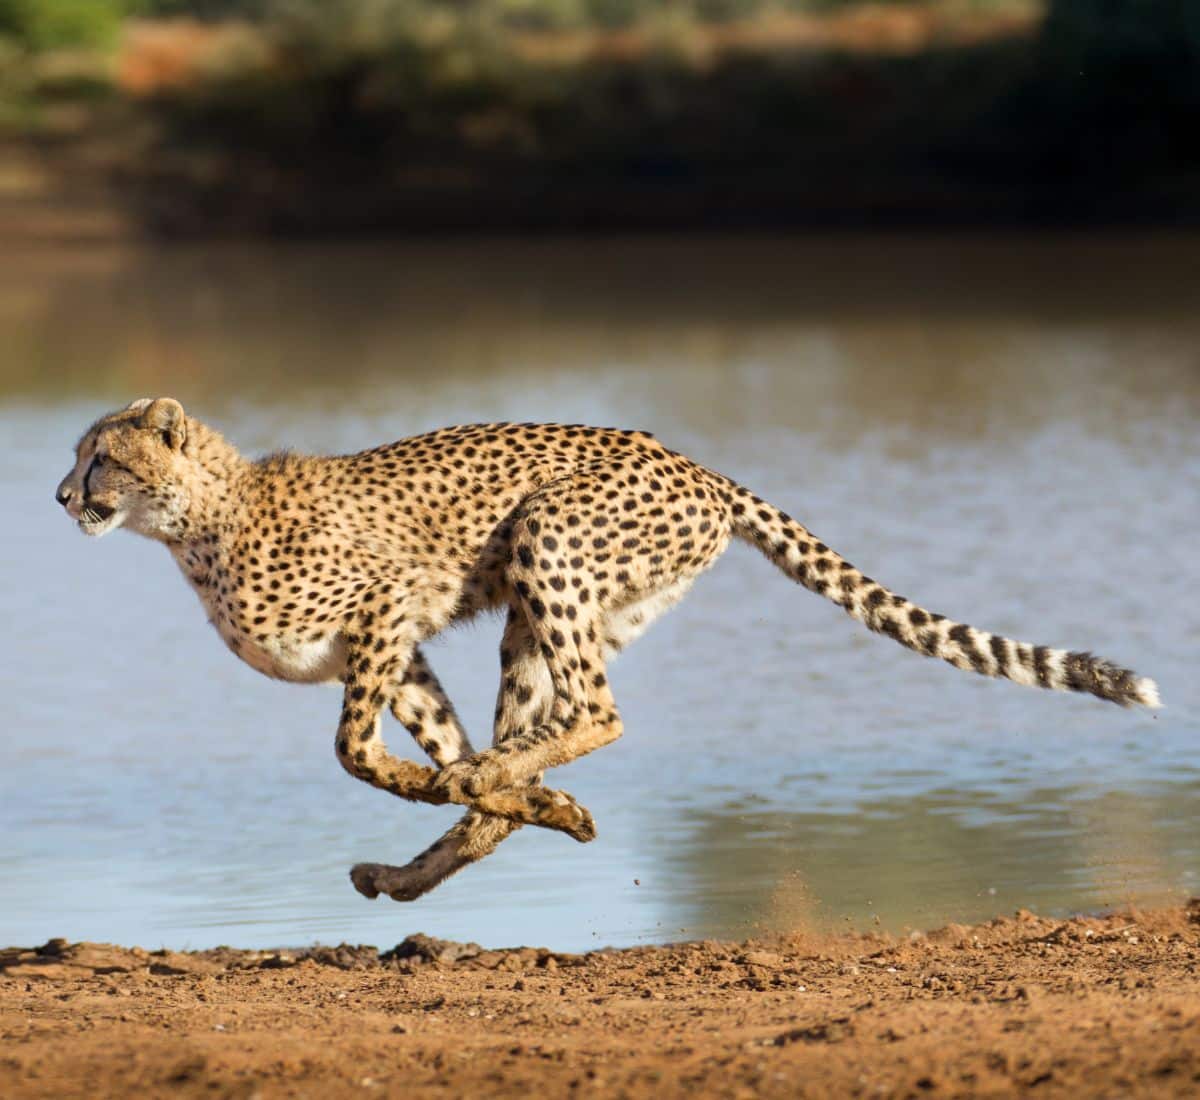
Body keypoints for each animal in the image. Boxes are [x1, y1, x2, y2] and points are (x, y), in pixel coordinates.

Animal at [56, 398, 1160, 903]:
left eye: (102, 456)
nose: (63, 495)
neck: (193, 523)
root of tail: (694, 461)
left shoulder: (388, 604)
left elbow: (355, 750)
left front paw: (451, 784)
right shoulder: (398, 644)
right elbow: (436, 748)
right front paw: (510, 801)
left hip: (547, 538)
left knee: (598, 711)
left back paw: (493, 791)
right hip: (549, 611)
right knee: (552, 723)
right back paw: (453, 845)